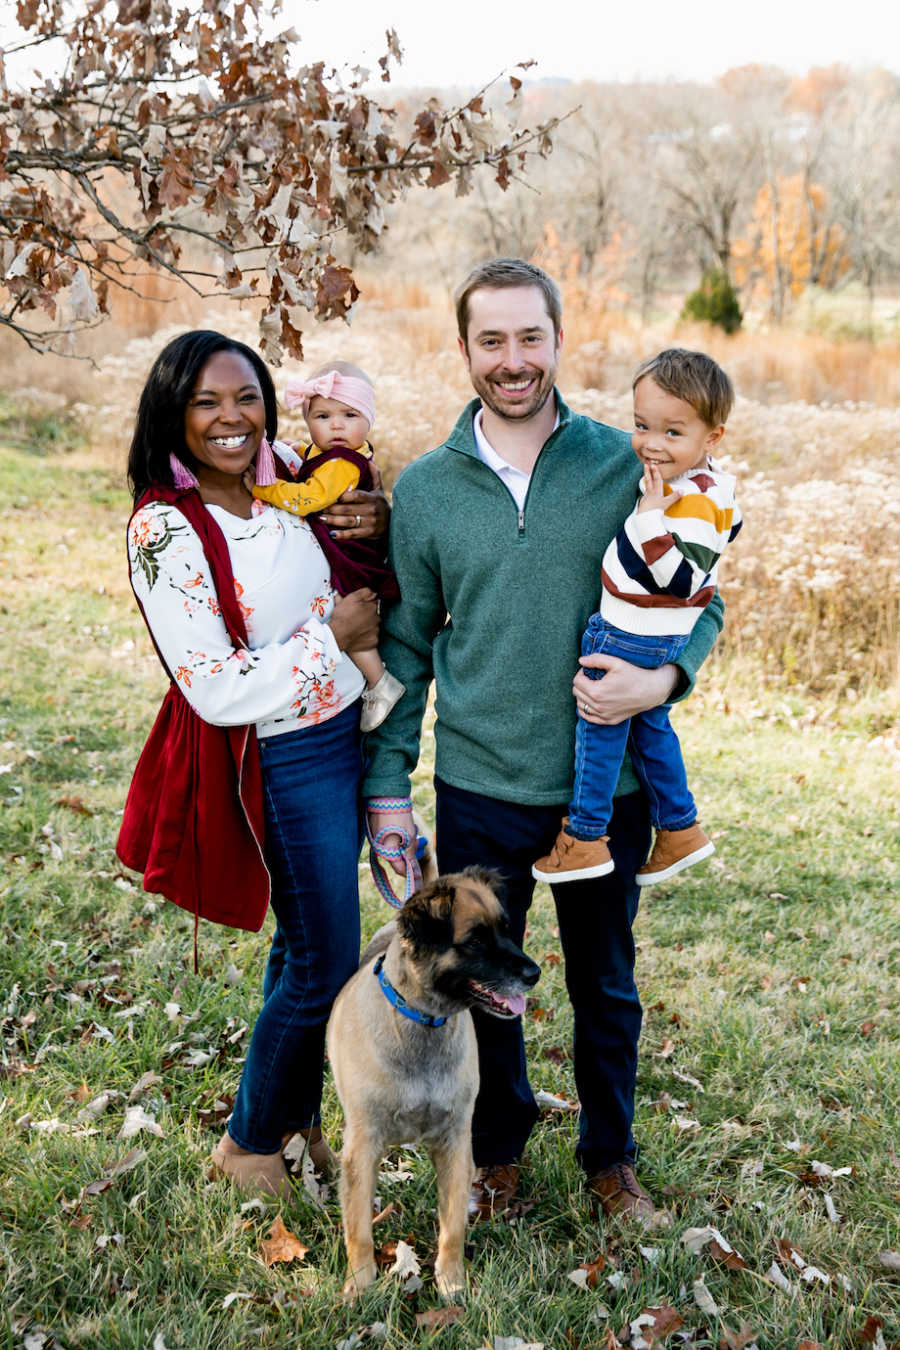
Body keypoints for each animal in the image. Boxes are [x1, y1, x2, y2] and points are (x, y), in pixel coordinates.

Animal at [330, 869, 542, 1301]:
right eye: (475, 940)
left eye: (506, 929)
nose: (534, 973)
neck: (423, 1022)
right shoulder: (362, 1148)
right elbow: (358, 1227)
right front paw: (360, 1283)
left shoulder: (456, 1143)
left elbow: (453, 1226)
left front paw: (451, 1280)